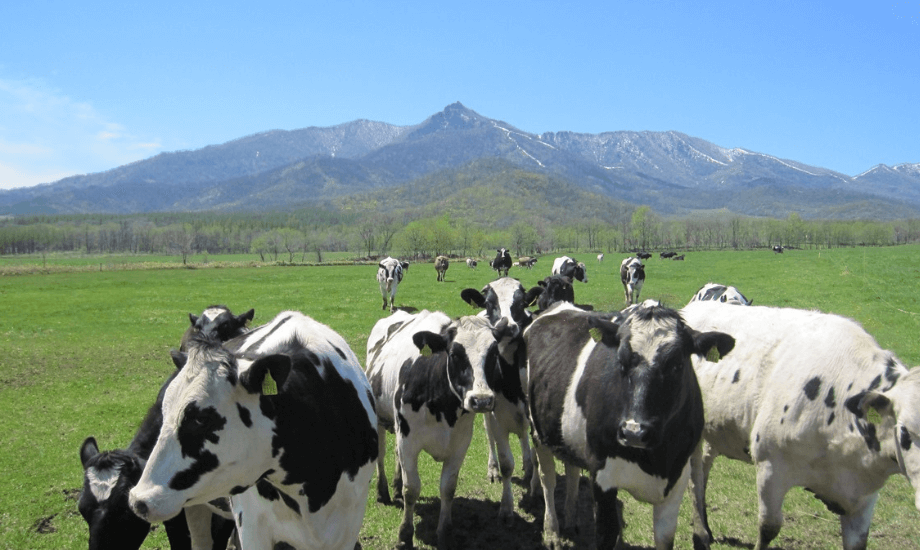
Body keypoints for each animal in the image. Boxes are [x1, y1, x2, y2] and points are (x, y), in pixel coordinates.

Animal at [362, 312, 512, 548]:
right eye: (454, 354)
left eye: (494, 353)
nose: (481, 400)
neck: (442, 405)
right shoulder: (408, 441)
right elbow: (411, 489)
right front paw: (405, 535)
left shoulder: (460, 443)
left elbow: (448, 488)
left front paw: (444, 532)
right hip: (380, 418)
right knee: (381, 454)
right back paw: (383, 491)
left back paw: (394, 486)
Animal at [524, 302, 732, 550]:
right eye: (620, 363)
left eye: (677, 365)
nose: (634, 432)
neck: (654, 461)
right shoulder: (601, 475)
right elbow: (607, 534)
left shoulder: (676, 480)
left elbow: (664, 539)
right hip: (537, 430)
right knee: (547, 478)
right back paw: (552, 532)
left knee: (572, 471)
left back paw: (570, 522)